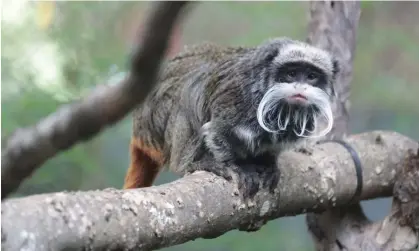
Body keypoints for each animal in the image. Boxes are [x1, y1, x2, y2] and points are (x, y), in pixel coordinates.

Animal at [123, 37, 340, 198]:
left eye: (311, 76)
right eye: (292, 73)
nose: (301, 87)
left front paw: (268, 163)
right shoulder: (236, 101)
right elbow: (216, 132)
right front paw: (237, 167)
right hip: (154, 122)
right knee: (190, 91)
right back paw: (190, 162)